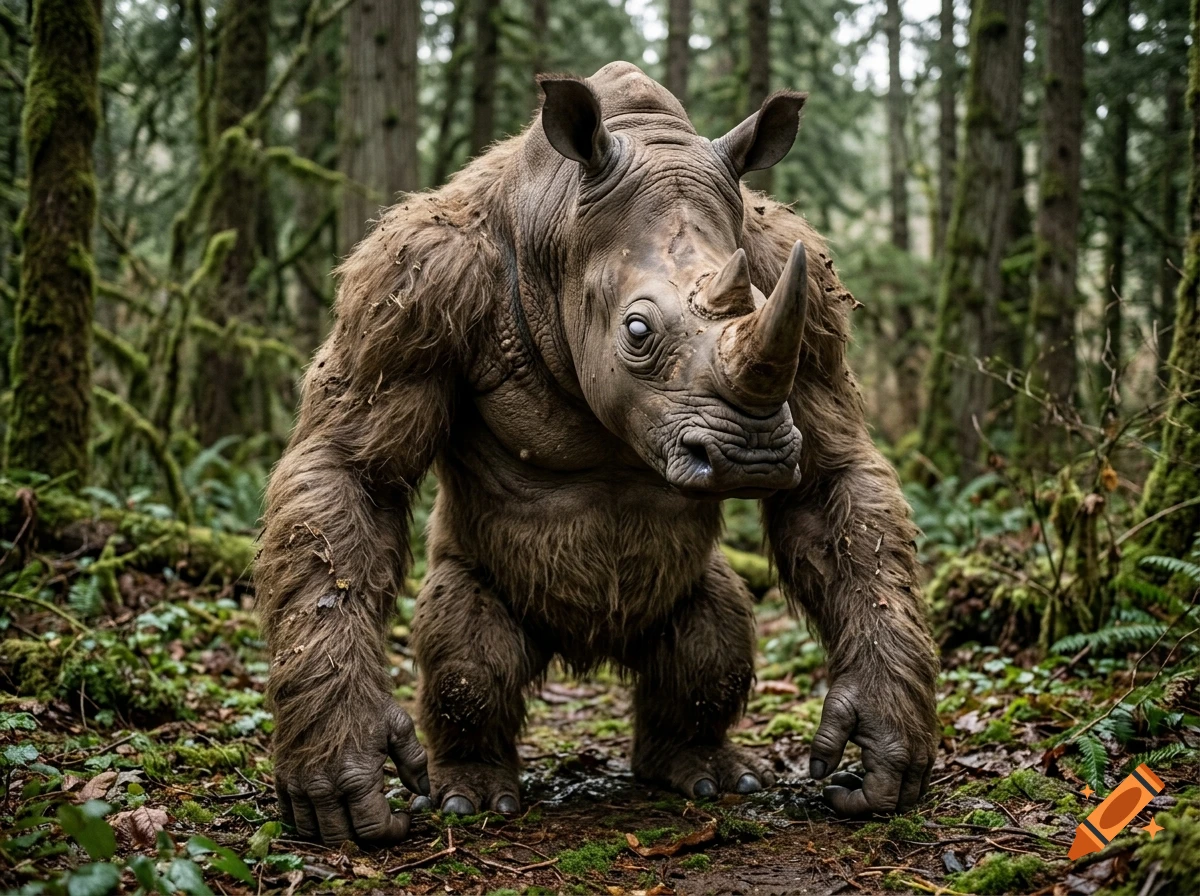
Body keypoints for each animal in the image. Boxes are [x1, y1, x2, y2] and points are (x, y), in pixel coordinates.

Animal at [256, 62, 939, 845]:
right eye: (637, 332)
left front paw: (883, 746)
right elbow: (352, 472)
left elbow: (829, 483)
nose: (752, 457)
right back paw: (471, 797)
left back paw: (704, 777)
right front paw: (343, 781)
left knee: (713, 625)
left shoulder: (805, 284)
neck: (561, 227)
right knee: (466, 642)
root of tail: (586, 655)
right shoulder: (414, 280)